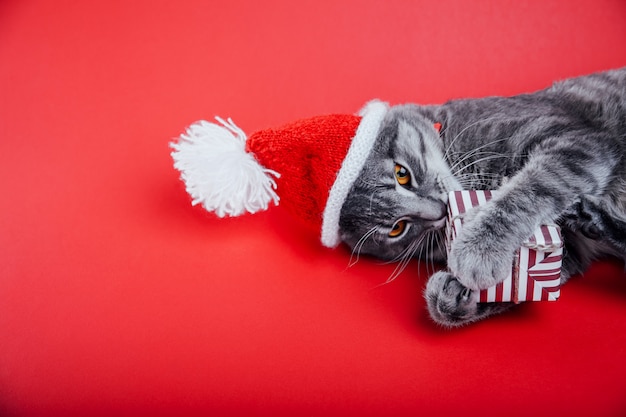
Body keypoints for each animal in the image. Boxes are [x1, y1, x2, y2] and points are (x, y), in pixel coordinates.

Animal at [336, 68, 624, 326]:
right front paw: (454, 297)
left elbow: (529, 189)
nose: (439, 211)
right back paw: (593, 220)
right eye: (398, 228)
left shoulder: (576, 140)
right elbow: (526, 285)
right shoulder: (572, 249)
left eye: (402, 174)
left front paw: (480, 249)